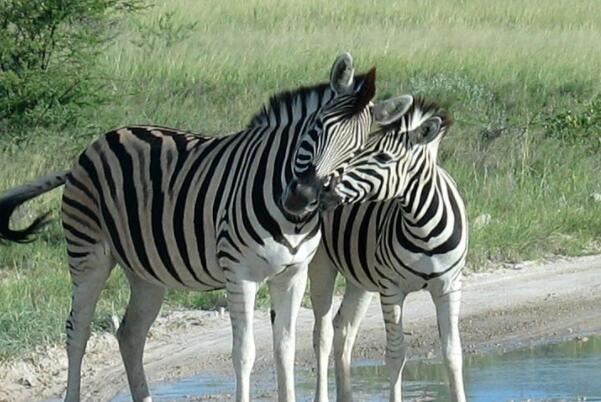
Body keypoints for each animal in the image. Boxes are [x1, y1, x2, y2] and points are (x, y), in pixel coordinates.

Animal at [0, 53, 406, 402]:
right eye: (316, 128)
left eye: (356, 152)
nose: (300, 197)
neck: (290, 218)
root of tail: (99, 141)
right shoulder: (239, 274)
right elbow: (244, 352)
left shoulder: (293, 273)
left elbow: (286, 349)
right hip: (89, 255)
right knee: (78, 331)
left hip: (146, 271)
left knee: (130, 334)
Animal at [310, 95, 468, 402]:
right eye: (360, 152)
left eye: (383, 158)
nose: (325, 191)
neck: (423, 228)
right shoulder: (391, 288)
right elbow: (395, 356)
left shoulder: (449, 286)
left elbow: (453, 353)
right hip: (322, 266)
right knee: (321, 336)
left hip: (360, 278)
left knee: (343, 328)